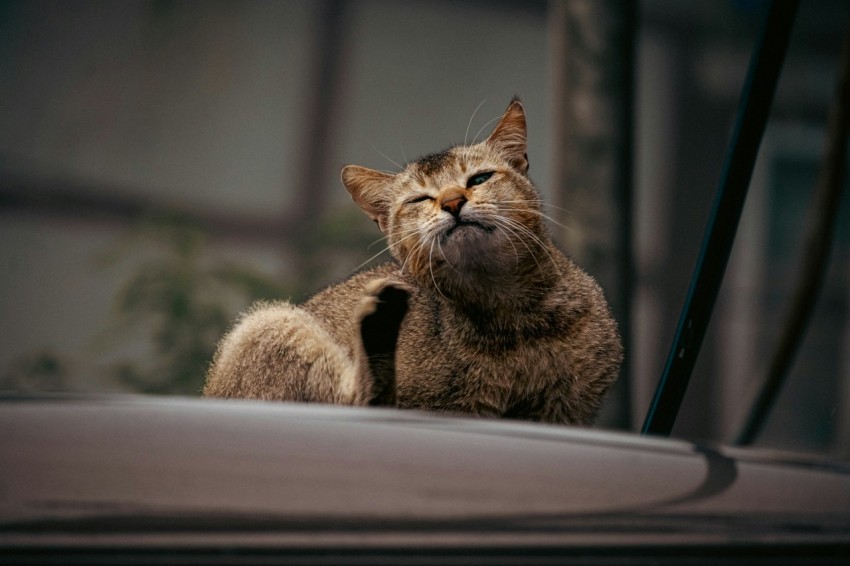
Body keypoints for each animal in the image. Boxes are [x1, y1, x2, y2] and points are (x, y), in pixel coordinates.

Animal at [202, 100, 620, 426]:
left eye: (480, 178)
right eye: (419, 199)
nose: (452, 201)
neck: (513, 320)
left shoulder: (568, 409)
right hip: (271, 323)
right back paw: (379, 324)